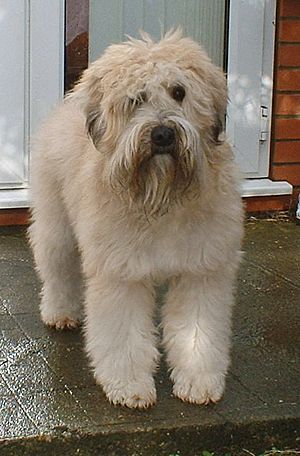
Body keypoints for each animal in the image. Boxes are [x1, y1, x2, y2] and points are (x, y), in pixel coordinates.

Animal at [28, 31, 244, 410]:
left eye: (179, 91)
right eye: (135, 99)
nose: (162, 135)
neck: (161, 196)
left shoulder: (202, 270)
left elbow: (197, 332)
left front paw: (198, 381)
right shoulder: (120, 273)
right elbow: (123, 335)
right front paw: (129, 385)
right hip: (57, 227)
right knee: (57, 270)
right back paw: (59, 312)